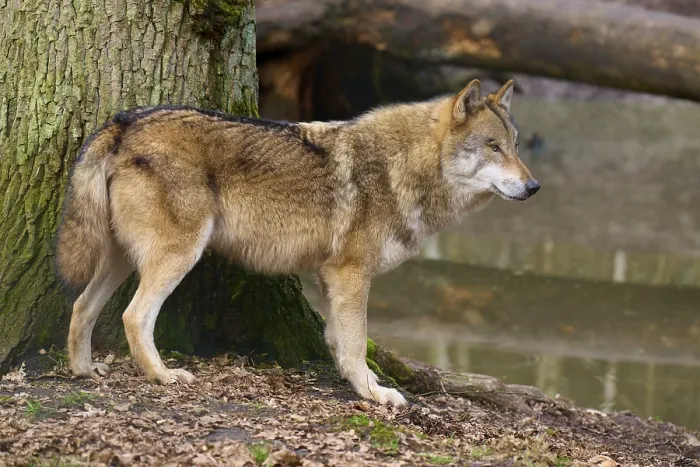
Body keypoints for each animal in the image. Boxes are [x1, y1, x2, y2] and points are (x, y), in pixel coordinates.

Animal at [55, 79, 539, 407]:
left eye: (516, 146)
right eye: (493, 147)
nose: (534, 187)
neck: (401, 167)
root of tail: (123, 122)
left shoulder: (330, 277)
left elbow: (339, 341)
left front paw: (356, 383)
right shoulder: (351, 273)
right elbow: (357, 342)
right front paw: (374, 393)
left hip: (120, 260)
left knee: (81, 306)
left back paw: (83, 369)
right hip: (178, 255)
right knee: (134, 316)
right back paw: (163, 376)